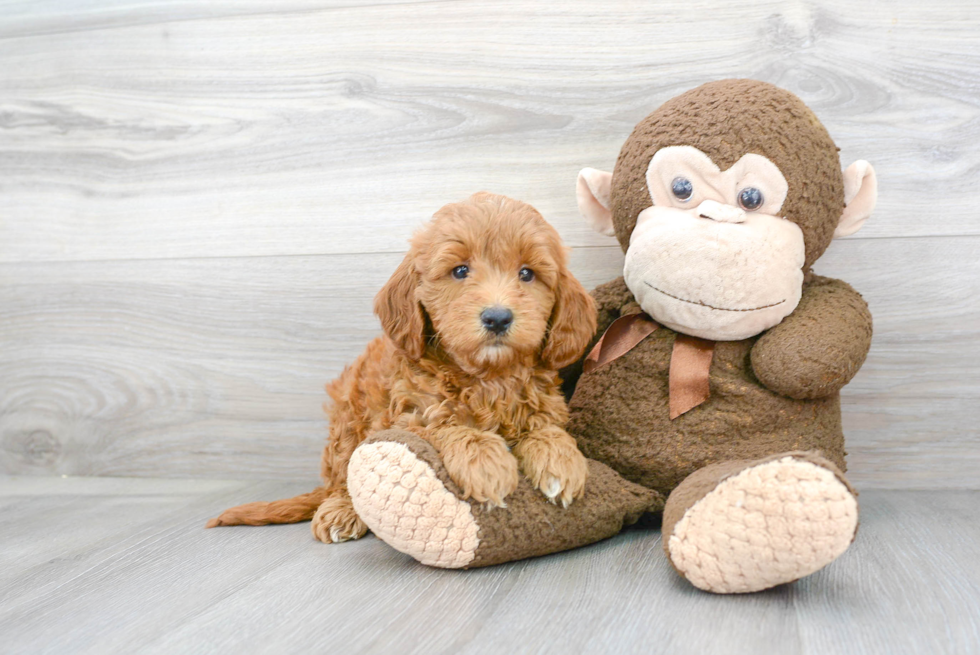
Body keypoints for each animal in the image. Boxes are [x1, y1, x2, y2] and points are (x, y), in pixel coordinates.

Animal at [205, 193, 596, 544]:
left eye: (527, 274)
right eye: (460, 270)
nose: (497, 317)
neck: (488, 378)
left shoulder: (547, 405)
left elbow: (547, 429)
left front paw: (561, 460)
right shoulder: (408, 417)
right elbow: (447, 427)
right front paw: (485, 461)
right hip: (347, 420)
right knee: (344, 477)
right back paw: (341, 511)